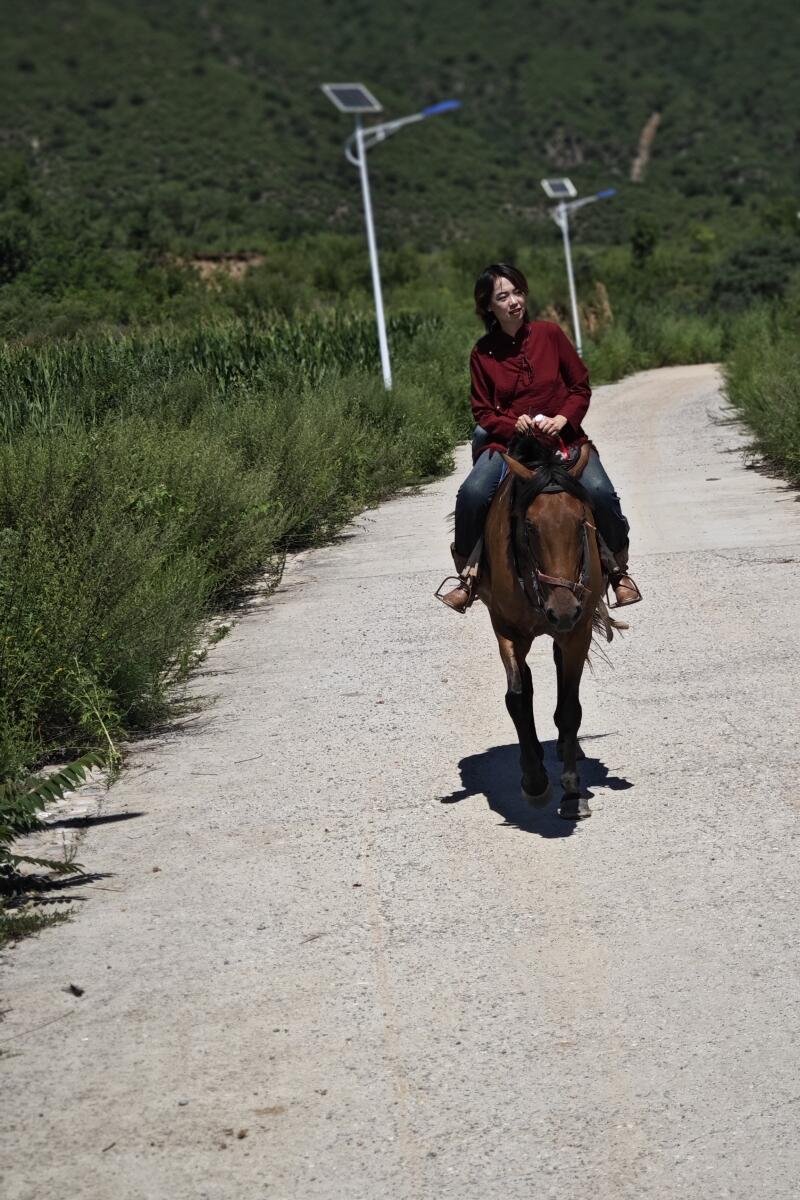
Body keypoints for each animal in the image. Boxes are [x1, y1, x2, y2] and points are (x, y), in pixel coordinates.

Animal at [479, 436, 618, 820]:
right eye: (528, 526)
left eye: (582, 521)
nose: (563, 610)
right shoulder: (506, 629)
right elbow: (516, 697)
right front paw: (535, 782)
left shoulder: (576, 633)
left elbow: (569, 708)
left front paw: (571, 791)